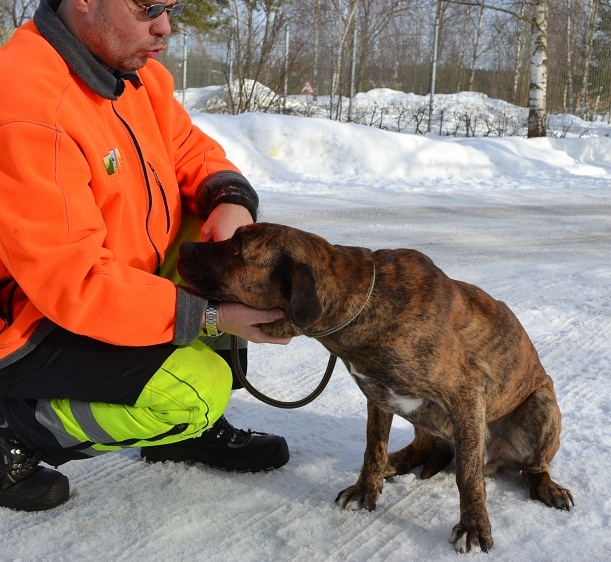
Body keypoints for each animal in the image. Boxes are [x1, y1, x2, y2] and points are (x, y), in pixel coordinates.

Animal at [177, 222, 573, 554]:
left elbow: (468, 476)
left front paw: (473, 527)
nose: (183, 247)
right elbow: (373, 448)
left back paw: (548, 487)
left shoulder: (467, 392)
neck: (364, 301)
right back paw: (393, 464)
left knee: (531, 468)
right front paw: (366, 490)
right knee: (420, 447)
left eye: (236, 250)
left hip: (541, 407)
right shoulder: (378, 397)